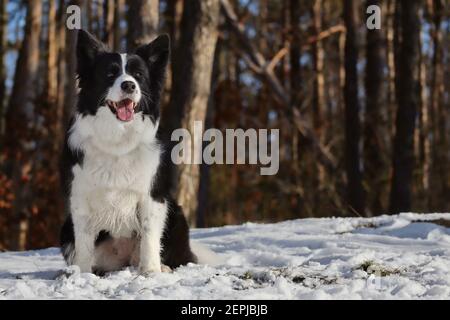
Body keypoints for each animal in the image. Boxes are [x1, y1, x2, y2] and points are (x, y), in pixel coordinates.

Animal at [58, 30, 197, 276]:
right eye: (110, 73)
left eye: (139, 75)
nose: (129, 86)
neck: (118, 138)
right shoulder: (80, 196)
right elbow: (83, 242)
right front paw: (82, 275)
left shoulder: (153, 196)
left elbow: (150, 235)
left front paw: (150, 272)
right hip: (66, 229)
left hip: (177, 214)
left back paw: (162, 267)